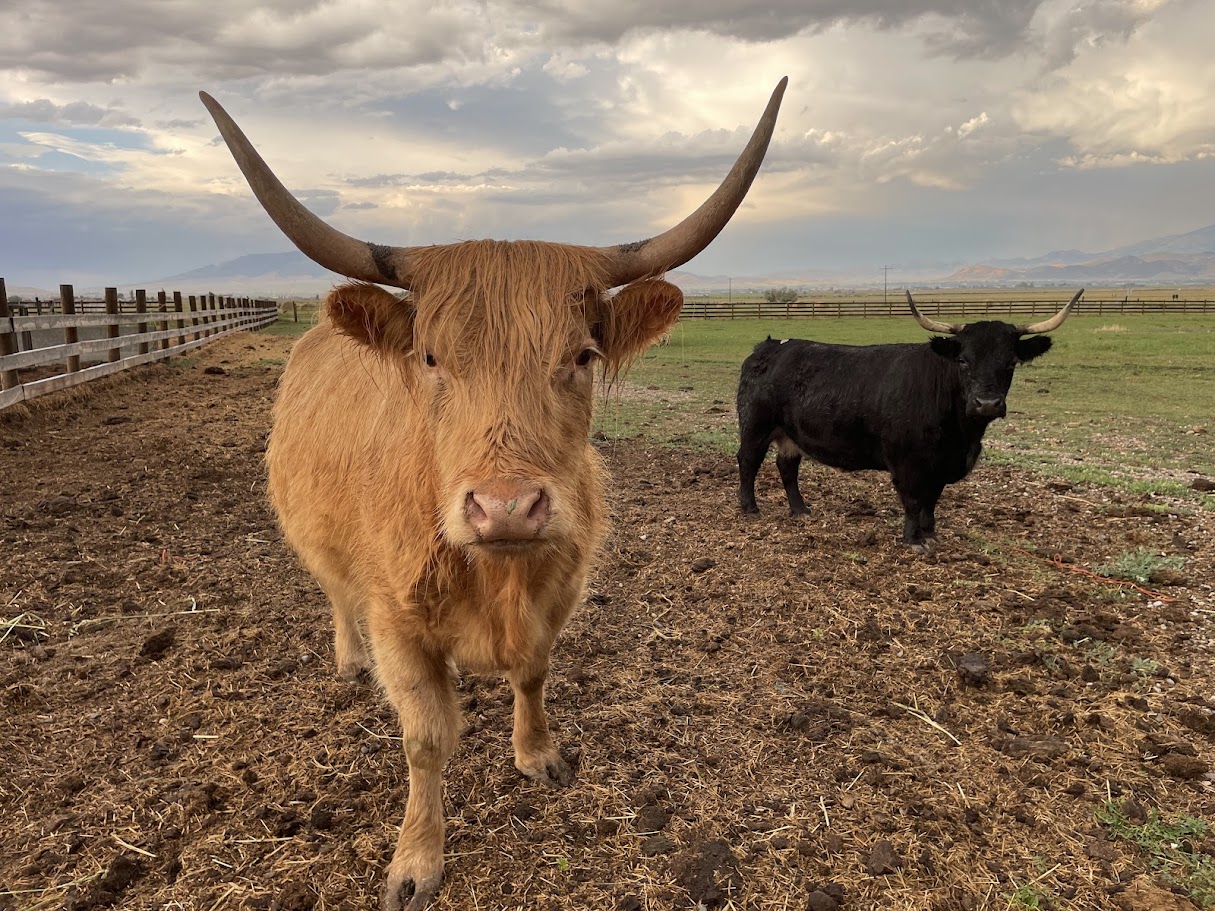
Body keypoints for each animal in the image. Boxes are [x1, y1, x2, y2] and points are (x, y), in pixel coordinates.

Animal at [200, 79, 785, 911]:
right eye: (429, 356)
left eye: (582, 354)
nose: (506, 507)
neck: (497, 578)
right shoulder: (397, 621)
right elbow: (424, 738)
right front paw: (417, 858)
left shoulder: (560, 591)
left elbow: (533, 672)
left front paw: (536, 753)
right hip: (320, 548)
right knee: (336, 595)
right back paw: (347, 661)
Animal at [735, 289, 1082, 551]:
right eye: (963, 359)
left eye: (1010, 362)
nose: (986, 404)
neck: (962, 437)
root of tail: (769, 346)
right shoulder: (907, 462)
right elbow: (914, 500)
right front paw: (914, 540)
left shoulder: (940, 465)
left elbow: (932, 500)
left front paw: (930, 533)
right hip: (755, 426)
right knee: (748, 461)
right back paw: (750, 508)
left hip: (790, 433)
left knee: (787, 467)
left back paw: (800, 510)